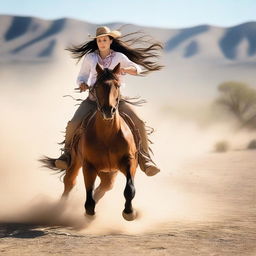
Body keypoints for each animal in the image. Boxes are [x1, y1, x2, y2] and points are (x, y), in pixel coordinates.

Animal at [42, 63, 138, 221]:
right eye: (97, 85)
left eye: (117, 85)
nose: (108, 110)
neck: (108, 136)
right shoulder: (89, 165)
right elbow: (89, 190)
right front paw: (89, 212)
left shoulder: (129, 161)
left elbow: (129, 188)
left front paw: (129, 212)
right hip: (76, 162)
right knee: (69, 182)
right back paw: (59, 208)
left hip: (109, 171)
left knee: (105, 186)